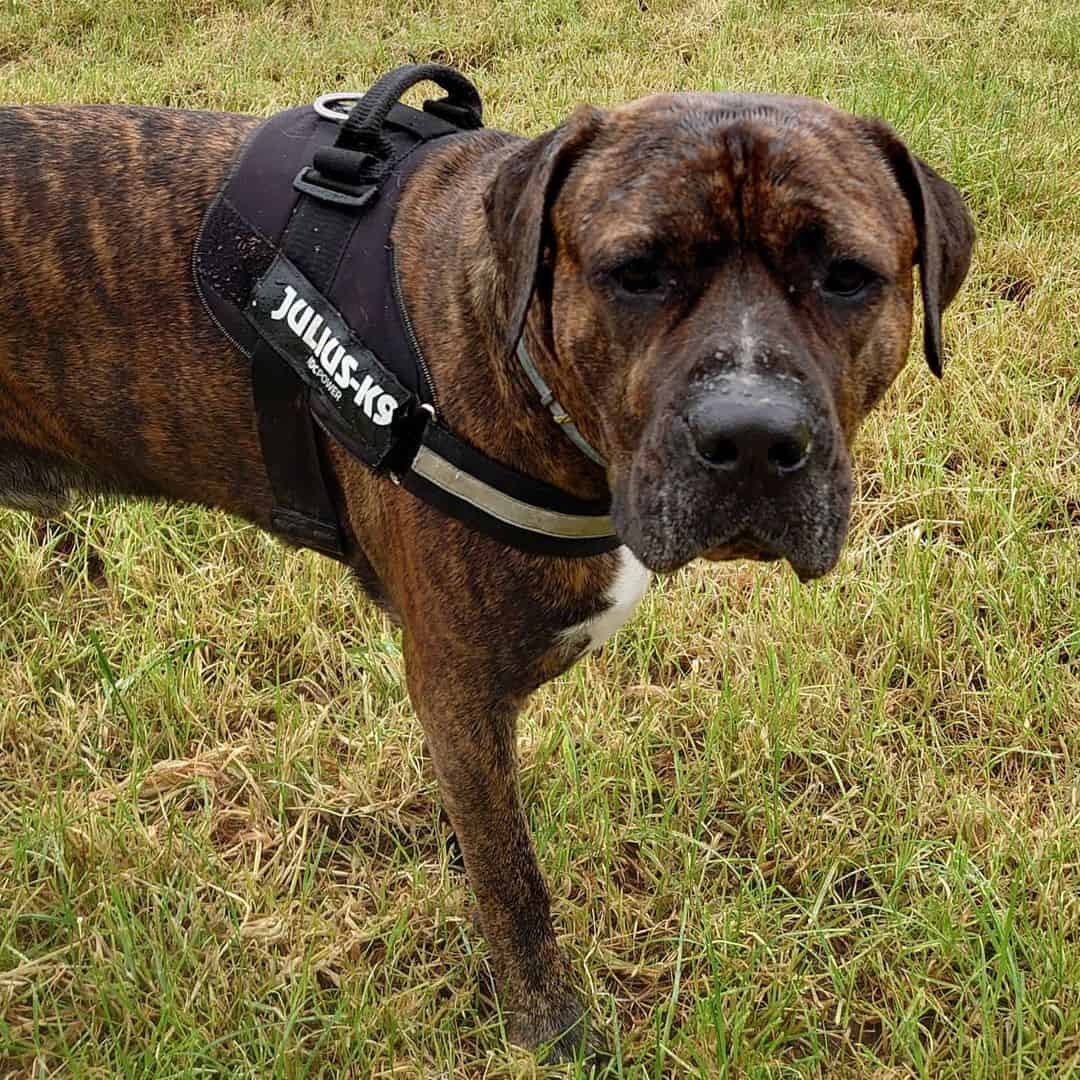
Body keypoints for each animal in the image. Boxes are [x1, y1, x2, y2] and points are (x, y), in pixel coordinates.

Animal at [0, 88, 976, 1058]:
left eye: (846, 275)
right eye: (637, 273)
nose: (752, 435)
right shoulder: (459, 688)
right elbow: (512, 881)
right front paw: (549, 1026)